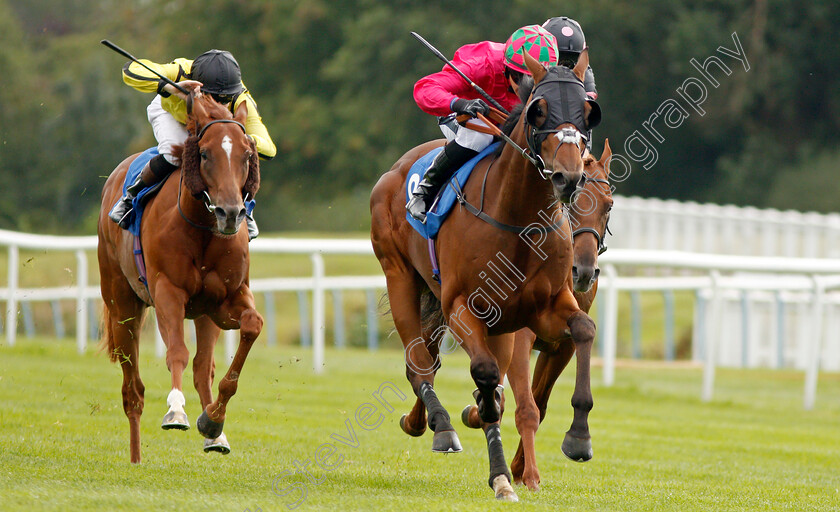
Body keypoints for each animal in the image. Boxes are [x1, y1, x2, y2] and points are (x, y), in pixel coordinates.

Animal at [98, 92, 262, 464]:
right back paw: (135, 458)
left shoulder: (225, 300)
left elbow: (251, 326)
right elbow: (176, 352)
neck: (202, 228)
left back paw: (215, 434)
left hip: (203, 314)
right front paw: (176, 411)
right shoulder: (167, 292)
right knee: (132, 388)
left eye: (247, 155)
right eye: (204, 154)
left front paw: (213, 421)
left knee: (203, 369)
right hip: (122, 305)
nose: (231, 213)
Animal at [462, 140, 612, 492]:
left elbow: (539, 403)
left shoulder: (561, 347)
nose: (584, 271)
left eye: (608, 205)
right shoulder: (522, 336)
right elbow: (526, 406)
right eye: (568, 203)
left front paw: (519, 467)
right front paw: (529, 473)